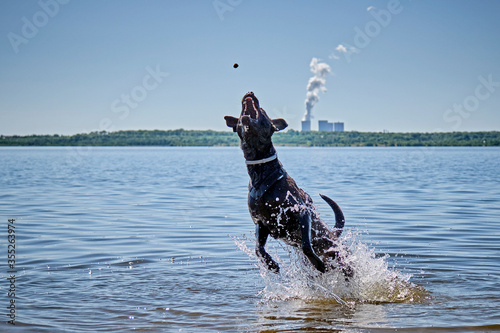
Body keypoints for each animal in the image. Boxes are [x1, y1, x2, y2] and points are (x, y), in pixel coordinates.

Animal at [226, 91, 352, 274]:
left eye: (262, 111)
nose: (250, 93)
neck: (261, 174)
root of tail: (333, 233)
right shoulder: (261, 223)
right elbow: (258, 249)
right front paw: (271, 264)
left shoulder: (302, 212)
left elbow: (306, 245)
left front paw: (319, 263)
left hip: (343, 258)